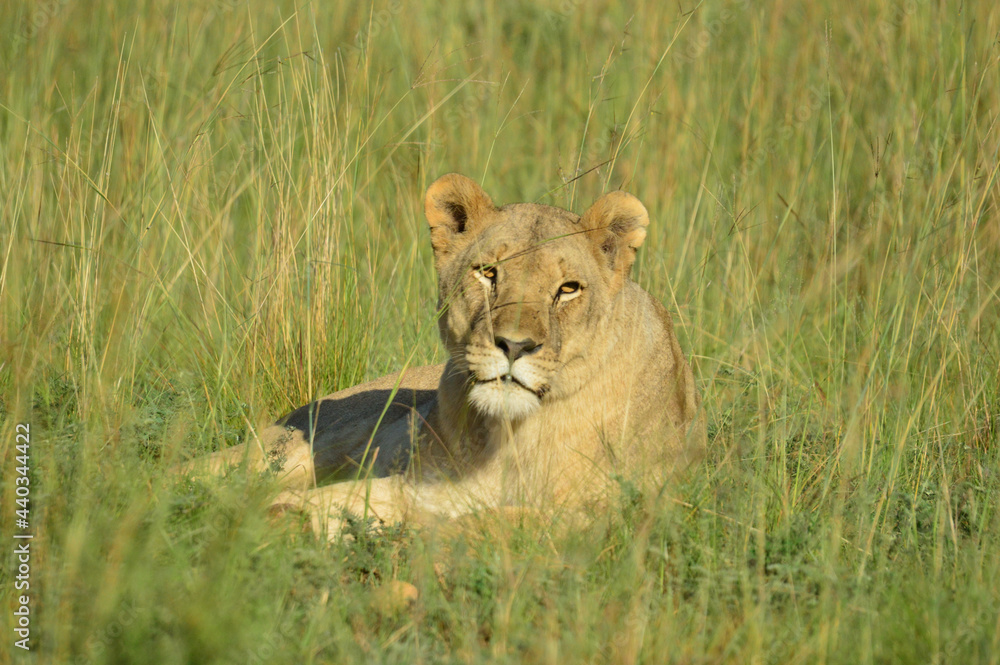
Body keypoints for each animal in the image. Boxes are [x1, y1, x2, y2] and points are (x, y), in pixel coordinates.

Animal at [187, 173, 704, 536]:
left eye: (568, 289)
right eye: (488, 273)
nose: (514, 345)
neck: (508, 438)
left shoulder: (601, 516)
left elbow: (485, 521)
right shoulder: (423, 484)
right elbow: (362, 499)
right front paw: (281, 517)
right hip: (298, 444)